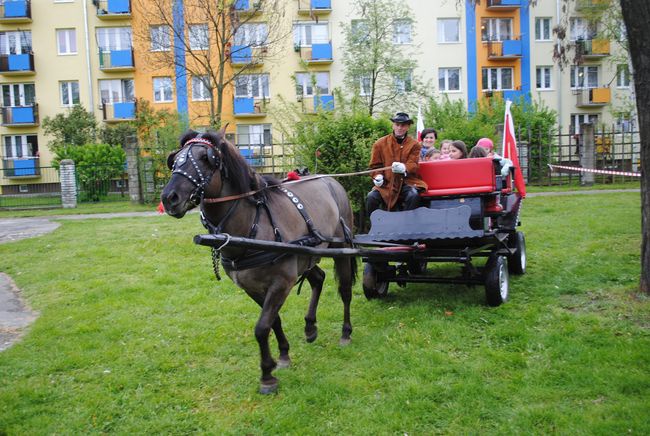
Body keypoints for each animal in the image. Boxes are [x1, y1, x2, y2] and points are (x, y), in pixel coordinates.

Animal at [160, 129, 356, 396]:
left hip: (341, 249)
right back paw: (310, 327)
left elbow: (262, 327)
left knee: (345, 291)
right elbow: (273, 320)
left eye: (205, 158)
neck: (252, 224)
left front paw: (267, 376)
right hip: (305, 255)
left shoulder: (282, 283)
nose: (169, 198)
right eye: (174, 160)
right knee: (318, 279)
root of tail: (331, 181)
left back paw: (346, 333)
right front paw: (282, 355)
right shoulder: (251, 287)